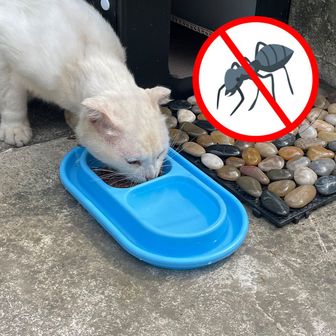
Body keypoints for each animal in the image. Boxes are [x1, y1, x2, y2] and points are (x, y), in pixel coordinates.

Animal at [0, 0, 169, 182]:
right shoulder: (7, 65)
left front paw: (74, 119)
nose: (152, 177)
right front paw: (14, 129)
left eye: (160, 154)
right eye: (133, 162)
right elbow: (12, 101)